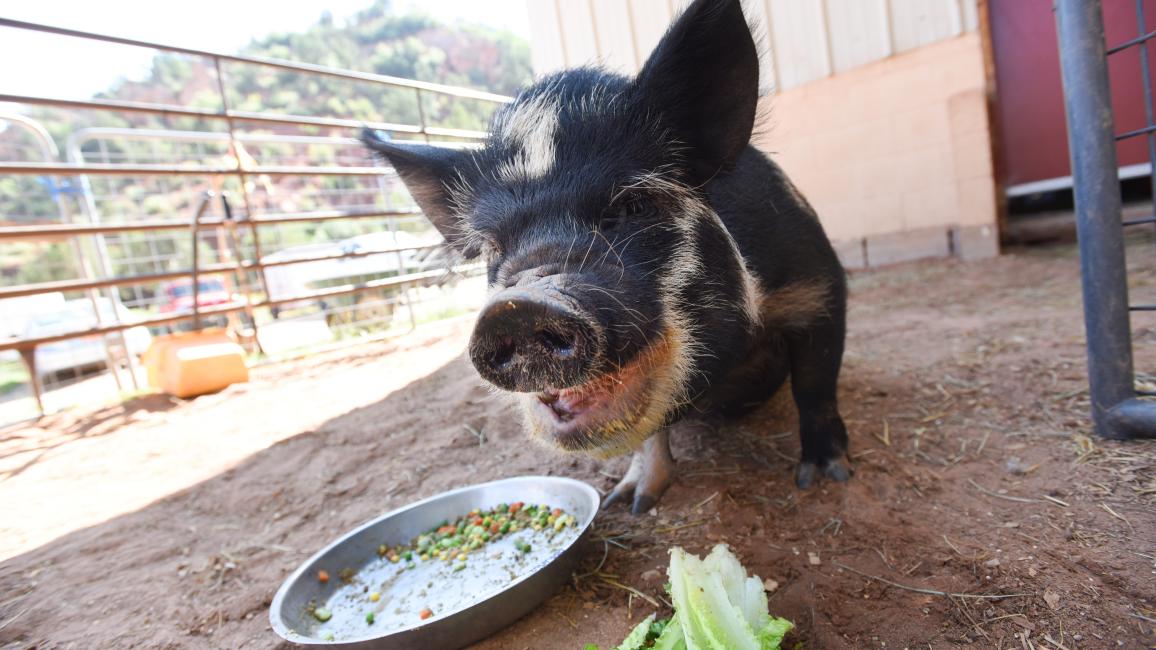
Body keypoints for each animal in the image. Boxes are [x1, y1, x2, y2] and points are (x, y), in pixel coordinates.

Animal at [363, 0, 851, 514]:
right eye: (494, 247)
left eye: (633, 205)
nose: (517, 307)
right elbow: (649, 434)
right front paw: (631, 502)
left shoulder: (818, 285)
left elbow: (816, 383)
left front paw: (826, 477)